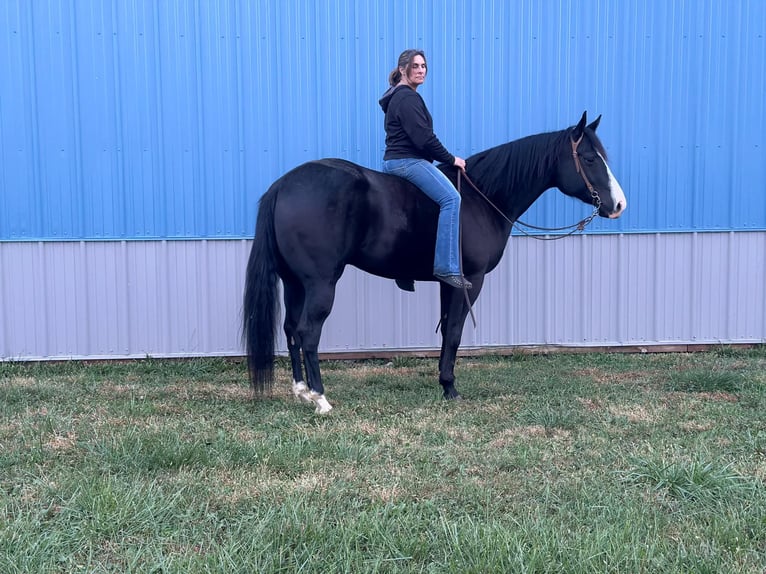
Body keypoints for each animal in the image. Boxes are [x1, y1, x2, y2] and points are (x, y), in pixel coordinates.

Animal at [243, 112, 628, 414]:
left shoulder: (449, 282)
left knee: (290, 330)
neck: (483, 198)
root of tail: (282, 186)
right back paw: (321, 398)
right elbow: (455, 332)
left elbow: (445, 332)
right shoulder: (470, 280)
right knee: (308, 331)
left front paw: (444, 384)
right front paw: (450, 388)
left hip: (294, 283)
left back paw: (301, 392)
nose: (619, 205)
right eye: (590, 159)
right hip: (320, 282)